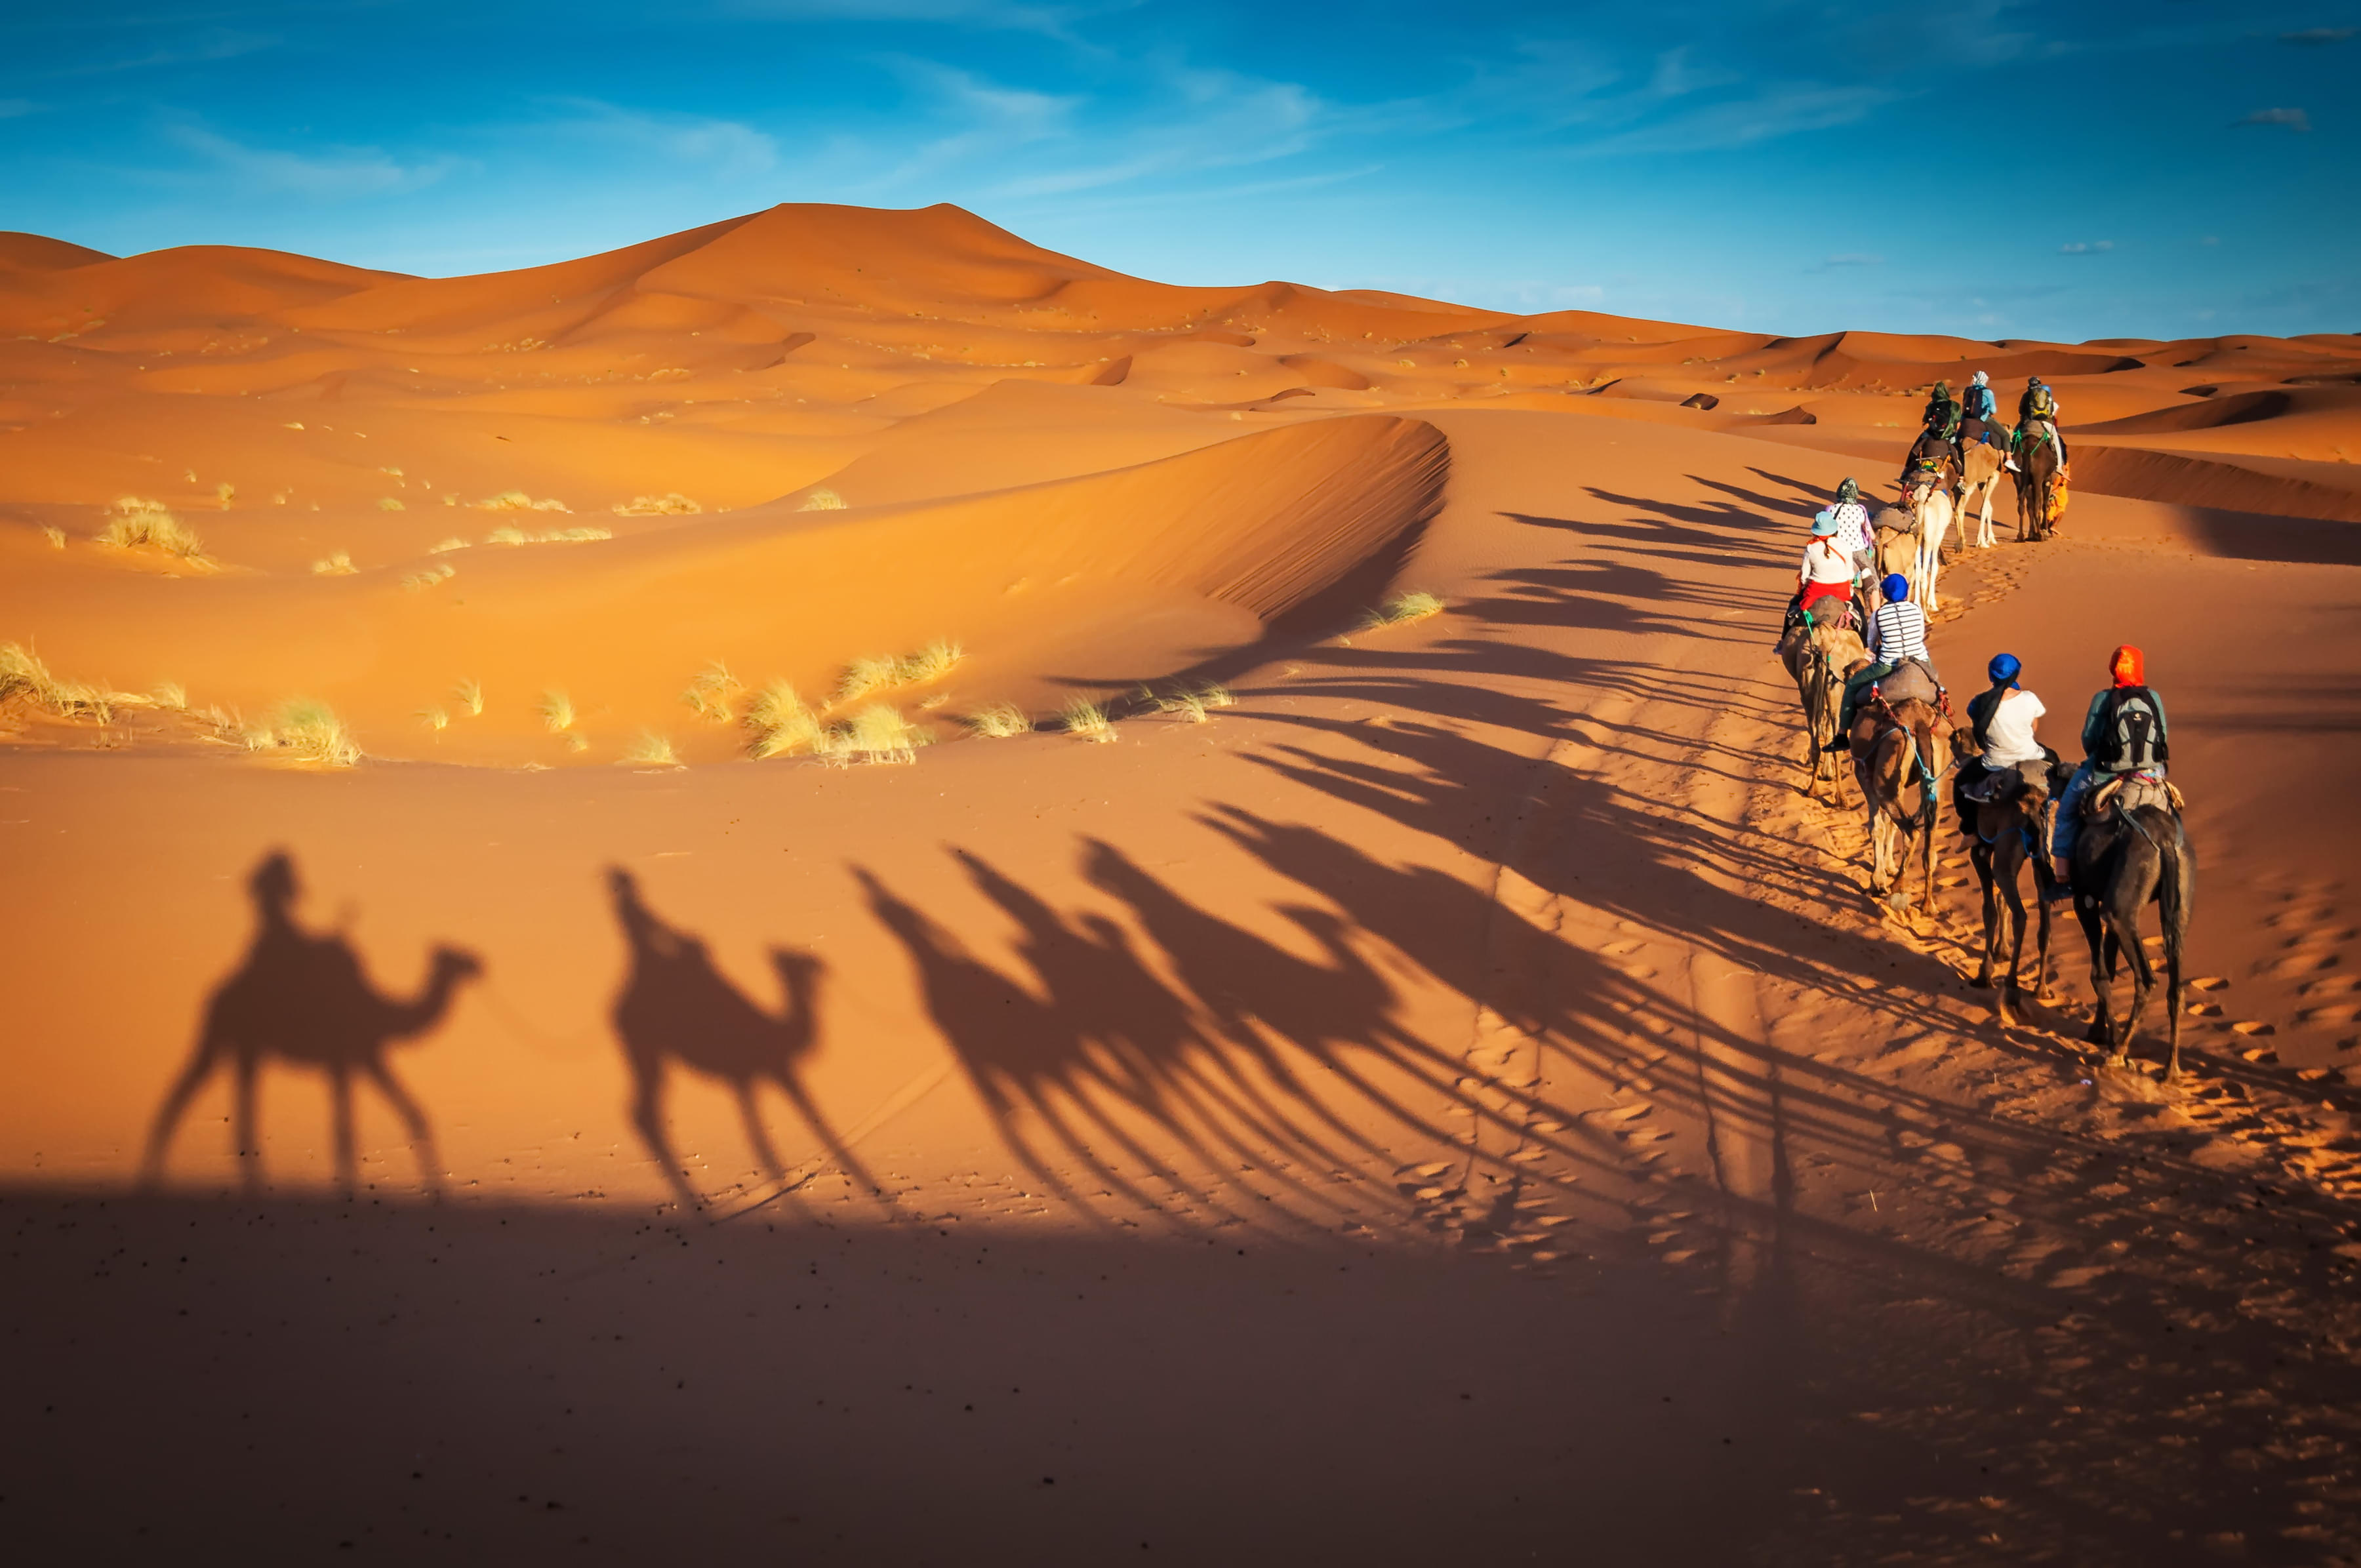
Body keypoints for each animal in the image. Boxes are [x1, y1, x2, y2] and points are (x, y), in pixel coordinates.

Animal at [140, 850, 481, 1195]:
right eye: (457, 953)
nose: (480, 964)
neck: (379, 1008)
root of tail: (216, 993)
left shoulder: (362, 1056)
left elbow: (408, 1114)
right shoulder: (348, 1057)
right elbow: (347, 1131)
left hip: (244, 1043)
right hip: (229, 1033)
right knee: (191, 1092)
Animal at [604, 864, 874, 1204]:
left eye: (809, 965)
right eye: (799, 965)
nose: (825, 973)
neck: (782, 1033)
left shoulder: (748, 1080)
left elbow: (764, 1139)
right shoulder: (768, 1073)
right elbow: (775, 1138)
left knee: (644, 1112)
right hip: (644, 1047)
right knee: (643, 1112)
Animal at [1775, 614, 1870, 803]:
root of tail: (1823, 644)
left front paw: (1825, 772)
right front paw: (1828, 773)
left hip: (1808, 677)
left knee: (1814, 728)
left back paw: (1812, 789)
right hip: (1836, 685)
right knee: (1835, 731)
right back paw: (1841, 799)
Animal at [2068, 774, 2190, 1077]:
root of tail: (2165, 841)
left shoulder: (2084, 897)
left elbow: (2100, 972)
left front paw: (2105, 1038)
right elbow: (2109, 967)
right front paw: (2098, 1032)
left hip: (2121, 905)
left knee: (2147, 979)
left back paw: (2119, 1052)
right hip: (2178, 896)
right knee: (2176, 986)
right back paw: (2171, 1071)